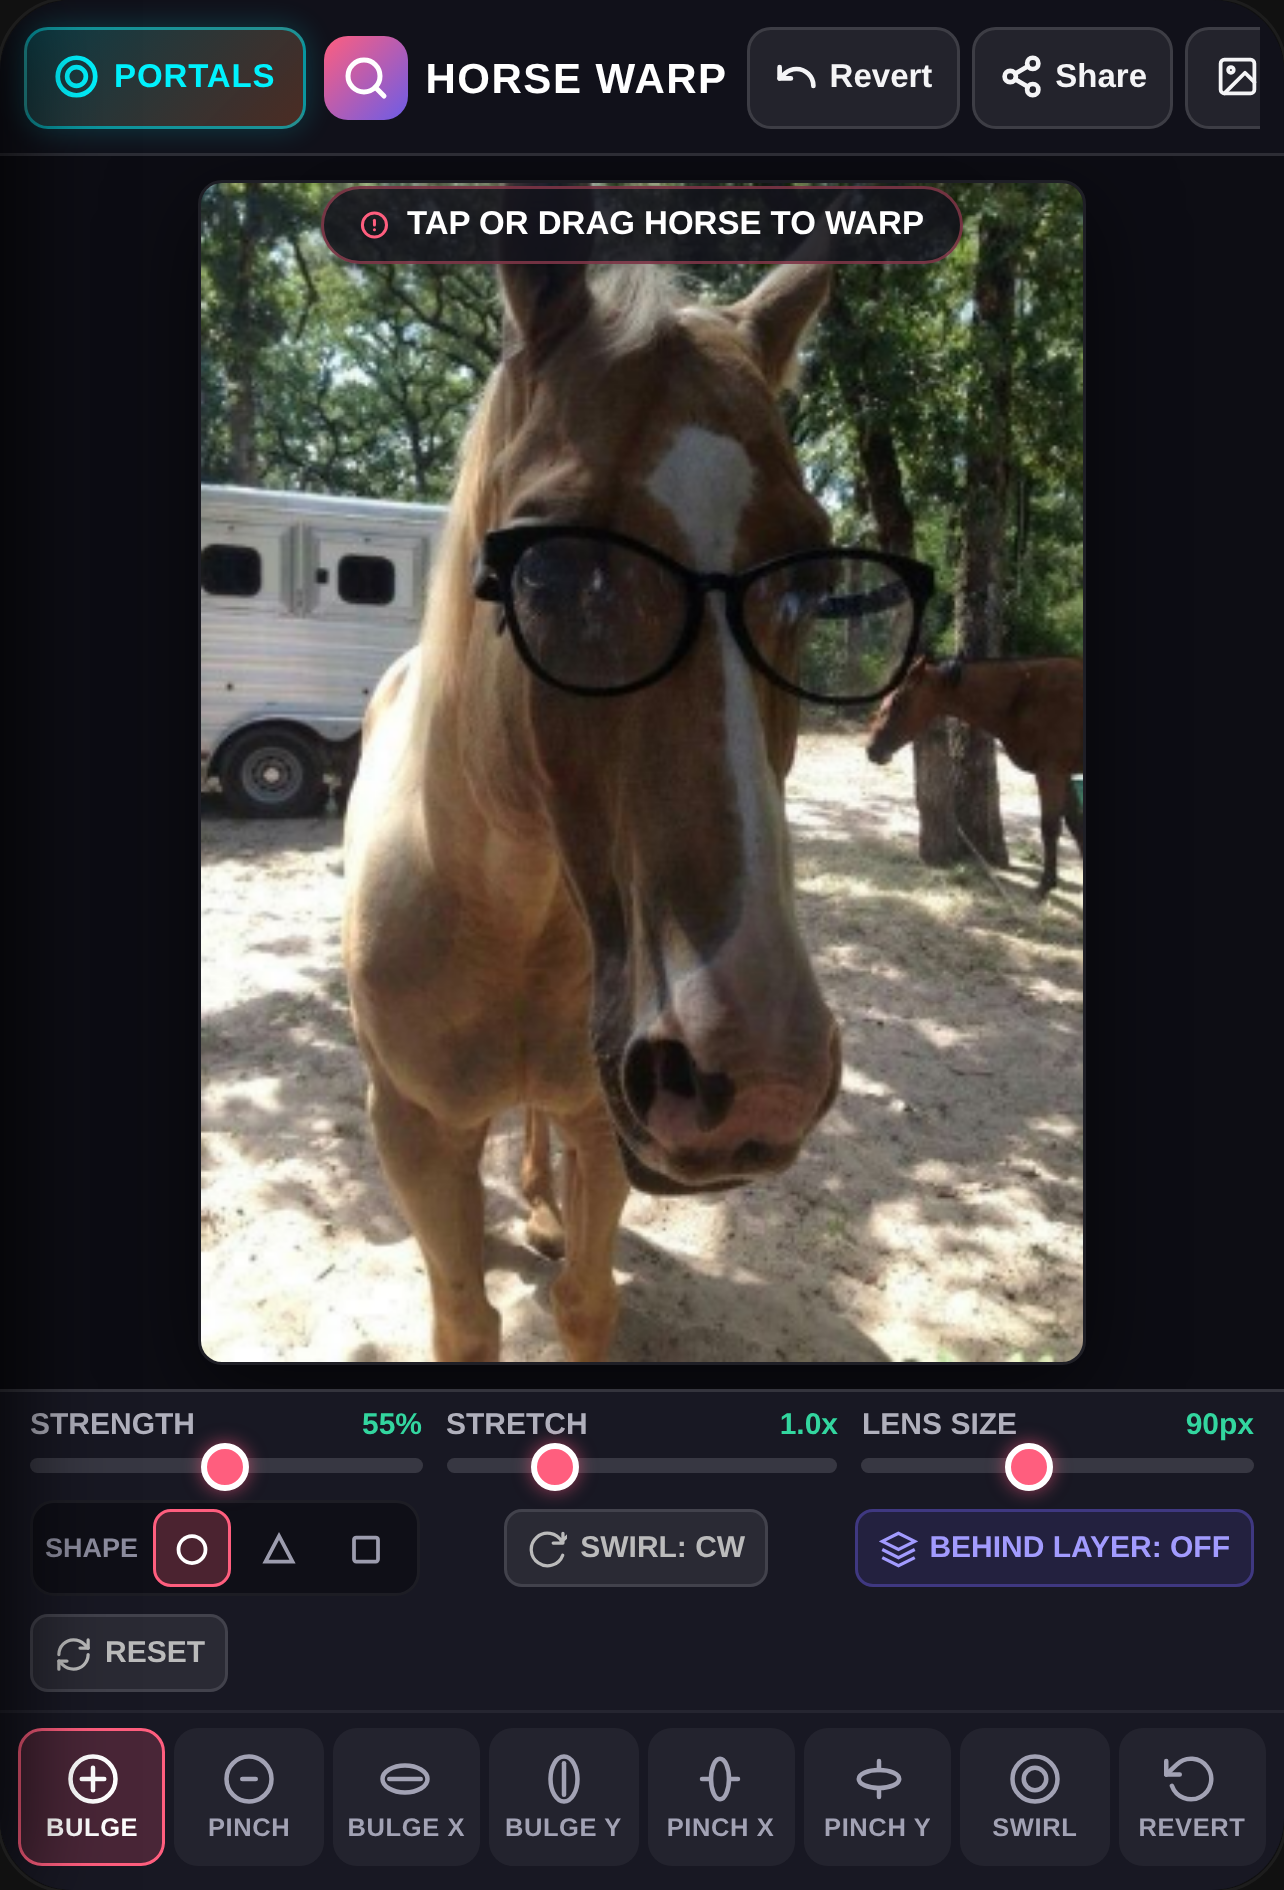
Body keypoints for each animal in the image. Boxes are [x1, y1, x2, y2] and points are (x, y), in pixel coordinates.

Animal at [342, 262, 850, 1363]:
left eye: (813, 579)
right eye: (547, 565)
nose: (762, 1078)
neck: (507, 916)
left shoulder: (603, 1121)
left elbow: (584, 1300)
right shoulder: (412, 1129)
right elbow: (465, 1320)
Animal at [865, 654, 1084, 898]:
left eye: (897, 701)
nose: (872, 749)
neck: (1024, 696)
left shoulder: (1051, 773)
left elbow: (1050, 827)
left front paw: (1045, 885)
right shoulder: (1062, 774)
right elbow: (1077, 824)